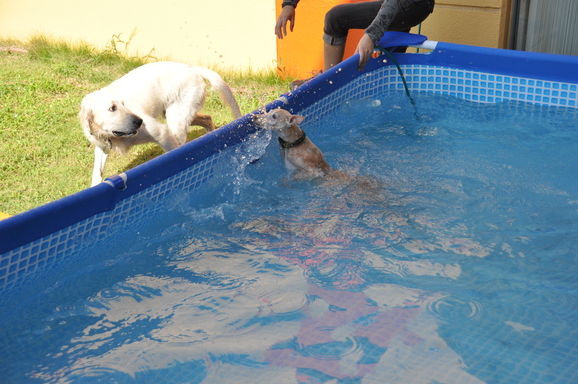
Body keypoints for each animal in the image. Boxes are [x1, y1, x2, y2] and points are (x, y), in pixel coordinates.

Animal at [79, 61, 241, 186]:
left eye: (123, 104)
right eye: (112, 108)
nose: (140, 121)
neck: (112, 136)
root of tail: (191, 68)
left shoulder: (160, 132)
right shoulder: (102, 145)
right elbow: (97, 172)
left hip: (176, 119)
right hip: (175, 114)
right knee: (207, 118)